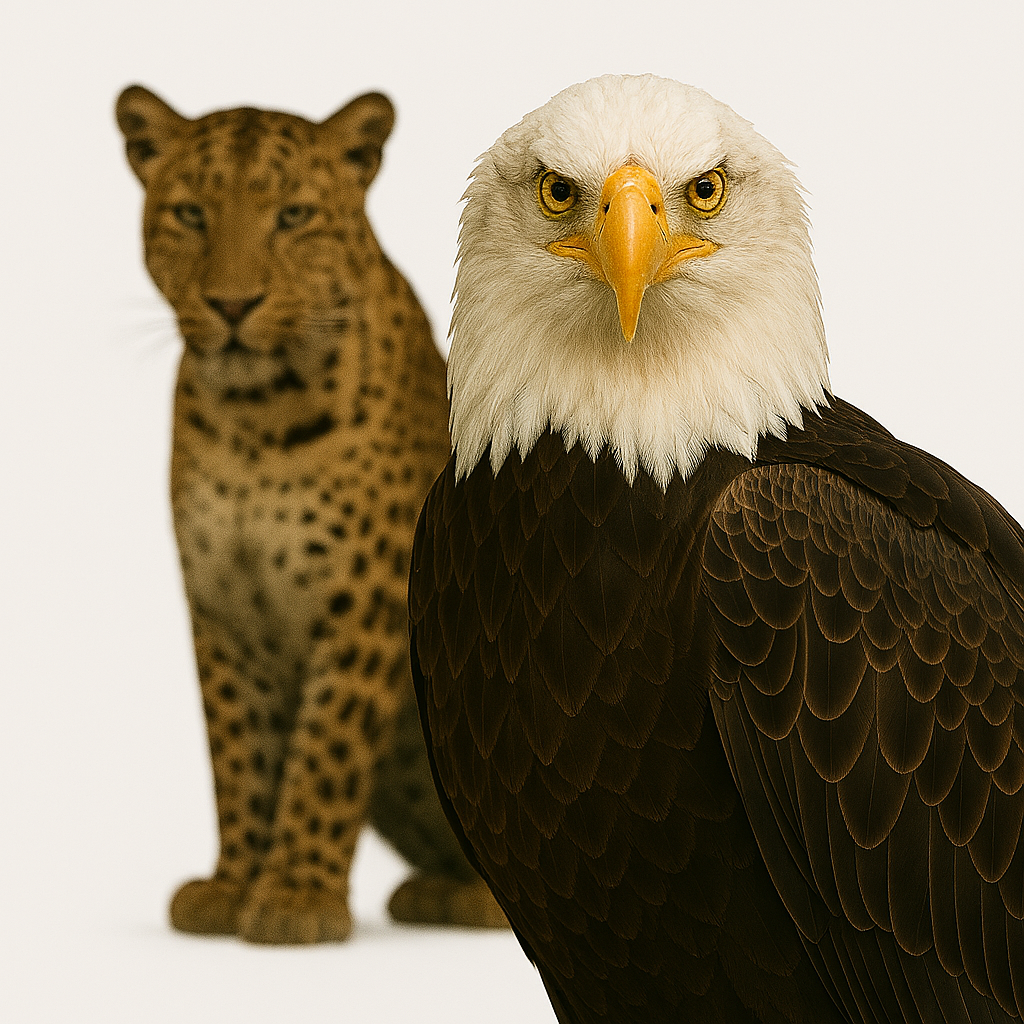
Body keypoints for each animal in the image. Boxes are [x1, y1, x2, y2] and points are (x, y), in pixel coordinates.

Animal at [116, 85, 505, 943]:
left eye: (293, 216)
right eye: (190, 214)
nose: (232, 304)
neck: (253, 419)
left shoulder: (365, 600)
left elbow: (323, 750)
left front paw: (295, 896)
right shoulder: (222, 607)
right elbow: (238, 754)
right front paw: (233, 886)